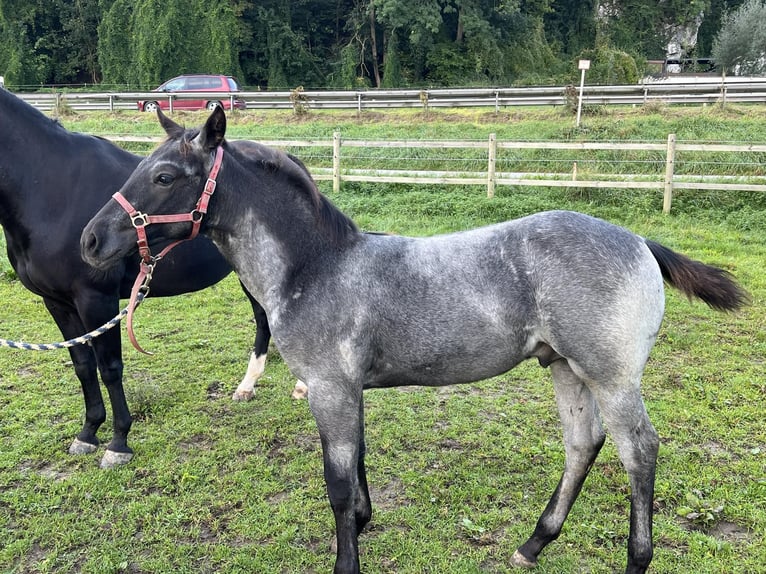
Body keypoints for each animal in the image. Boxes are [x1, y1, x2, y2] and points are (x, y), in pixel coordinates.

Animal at [0, 89, 294, 468]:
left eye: (164, 178)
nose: (90, 241)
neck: (49, 189)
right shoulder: (56, 302)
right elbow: (83, 366)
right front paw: (87, 433)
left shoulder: (97, 299)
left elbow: (110, 367)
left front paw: (118, 442)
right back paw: (247, 386)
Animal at [81, 109, 748, 574]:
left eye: (165, 175)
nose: (90, 241)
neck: (315, 266)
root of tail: (639, 241)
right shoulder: (346, 389)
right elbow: (356, 464)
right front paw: (365, 522)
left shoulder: (328, 387)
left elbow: (336, 482)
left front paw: (346, 558)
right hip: (564, 367)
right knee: (583, 444)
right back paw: (533, 543)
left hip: (610, 375)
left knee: (639, 451)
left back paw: (635, 558)